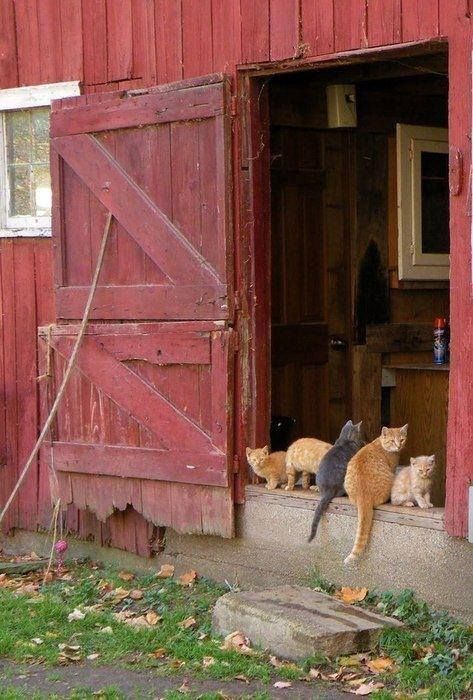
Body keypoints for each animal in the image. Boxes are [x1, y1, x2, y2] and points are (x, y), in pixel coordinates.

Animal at [342, 424, 406, 568]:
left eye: (402, 439)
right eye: (392, 441)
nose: (399, 446)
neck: (381, 443)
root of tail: (363, 494)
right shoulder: (392, 467)